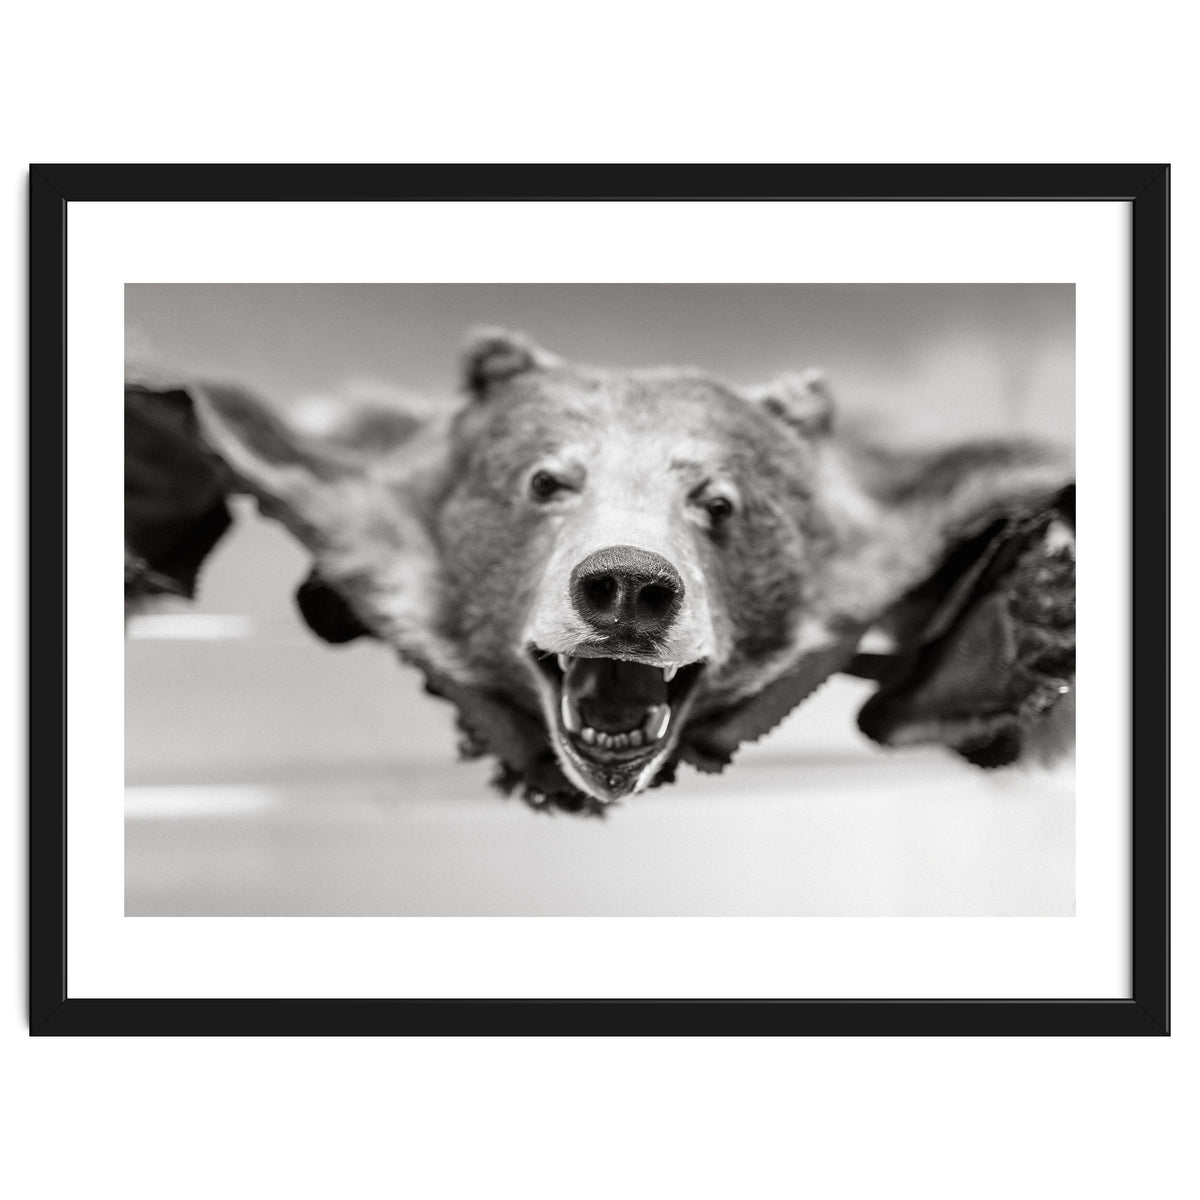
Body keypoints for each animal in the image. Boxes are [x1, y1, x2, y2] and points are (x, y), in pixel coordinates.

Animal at [126, 330, 1076, 813]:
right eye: (546, 480)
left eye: (718, 500)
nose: (627, 586)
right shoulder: (335, 497)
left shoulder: (907, 523)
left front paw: (1037, 618)